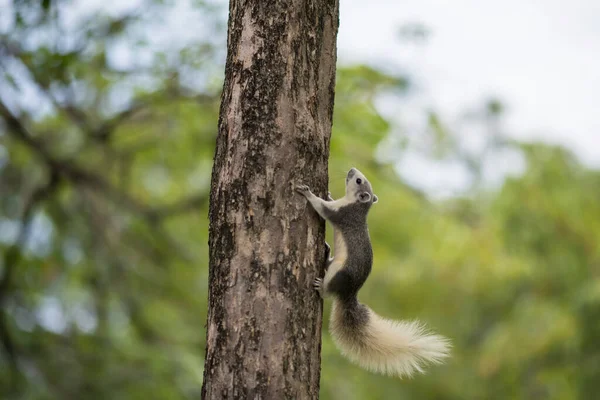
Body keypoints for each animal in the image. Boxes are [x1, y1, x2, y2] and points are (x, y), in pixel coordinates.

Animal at [296, 166, 450, 378]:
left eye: (359, 181)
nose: (352, 170)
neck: (357, 205)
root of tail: (350, 292)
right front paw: (327, 192)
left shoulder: (341, 213)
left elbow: (322, 207)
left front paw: (308, 193)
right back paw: (326, 255)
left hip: (339, 273)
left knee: (328, 289)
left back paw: (322, 287)